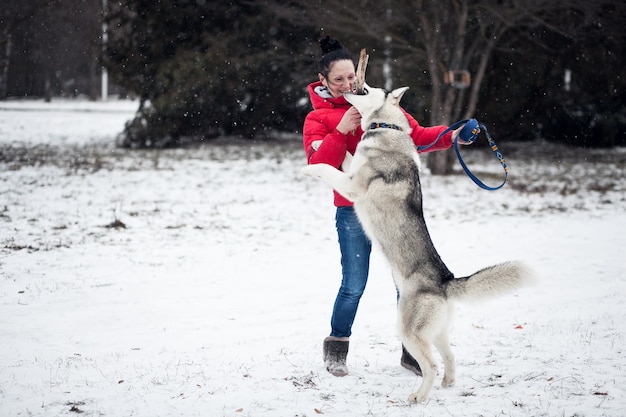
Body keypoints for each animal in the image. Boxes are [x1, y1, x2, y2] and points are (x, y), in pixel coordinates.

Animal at [302, 84, 532, 404]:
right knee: (449, 356)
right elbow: (344, 154)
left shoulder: (352, 185)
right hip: (435, 332)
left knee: (431, 365)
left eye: (367, 89)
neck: (386, 126)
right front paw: (320, 143)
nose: (354, 86)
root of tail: (446, 281)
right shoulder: (351, 170)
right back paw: (448, 383)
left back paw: (419, 396)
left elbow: (328, 168)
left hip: (408, 330)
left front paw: (311, 168)